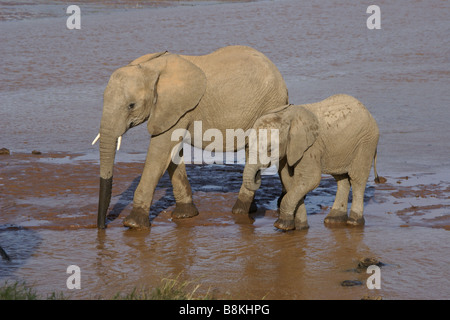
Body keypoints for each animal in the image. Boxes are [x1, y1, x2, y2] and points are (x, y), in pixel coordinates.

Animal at [96, 45, 288, 230]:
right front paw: (185, 215)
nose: (102, 226)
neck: (151, 68)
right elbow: (171, 154)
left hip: (269, 105)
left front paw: (133, 224)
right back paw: (252, 209)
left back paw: (240, 210)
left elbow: (159, 153)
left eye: (131, 105)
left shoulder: (178, 108)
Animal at [241, 94, 382, 231]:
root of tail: (368, 112)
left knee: (357, 179)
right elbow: (290, 180)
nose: (258, 175)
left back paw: (353, 222)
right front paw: (300, 227)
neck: (285, 116)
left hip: (366, 142)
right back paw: (333, 219)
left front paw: (281, 225)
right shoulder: (289, 150)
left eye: (270, 149)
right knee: (341, 179)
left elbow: (310, 179)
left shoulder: (310, 148)